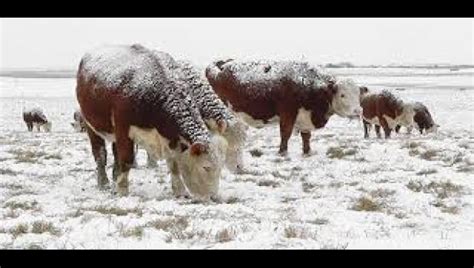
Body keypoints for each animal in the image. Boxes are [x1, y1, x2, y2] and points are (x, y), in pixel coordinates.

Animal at [75, 44, 228, 200]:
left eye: (221, 165)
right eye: (206, 167)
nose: (214, 197)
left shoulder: (169, 136)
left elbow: (173, 163)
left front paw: (179, 191)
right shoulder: (123, 129)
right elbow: (126, 160)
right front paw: (122, 190)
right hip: (91, 125)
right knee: (100, 154)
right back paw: (103, 182)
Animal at [206, 58, 362, 155]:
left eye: (358, 94)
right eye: (342, 95)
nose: (358, 111)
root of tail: (219, 64)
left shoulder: (304, 117)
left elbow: (306, 136)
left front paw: (307, 151)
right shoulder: (288, 112)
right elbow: (285, 133)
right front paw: (283, 152)